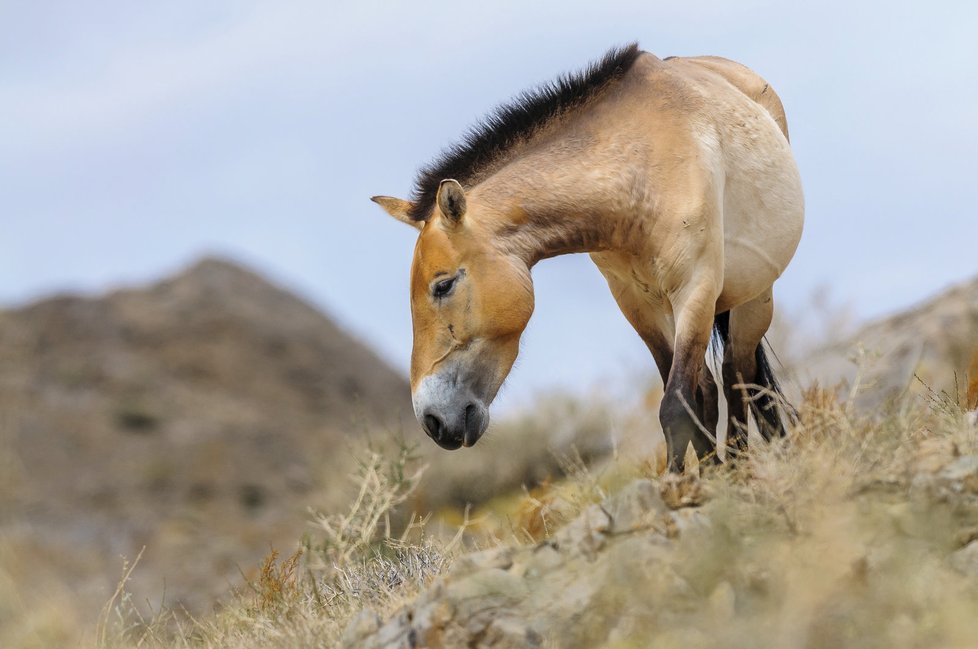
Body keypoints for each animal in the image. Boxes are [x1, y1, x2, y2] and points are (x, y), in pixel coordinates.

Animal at [372, 45, 800, 470]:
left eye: (443, 285)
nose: (432, 420)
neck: (638, 171)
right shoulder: (638, 305)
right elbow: (689, 398)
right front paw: (704, 476)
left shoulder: (695, 289)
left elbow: (676, 405)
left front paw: (681, 484)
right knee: (716, 385)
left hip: (755, 297)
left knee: (738, 373)